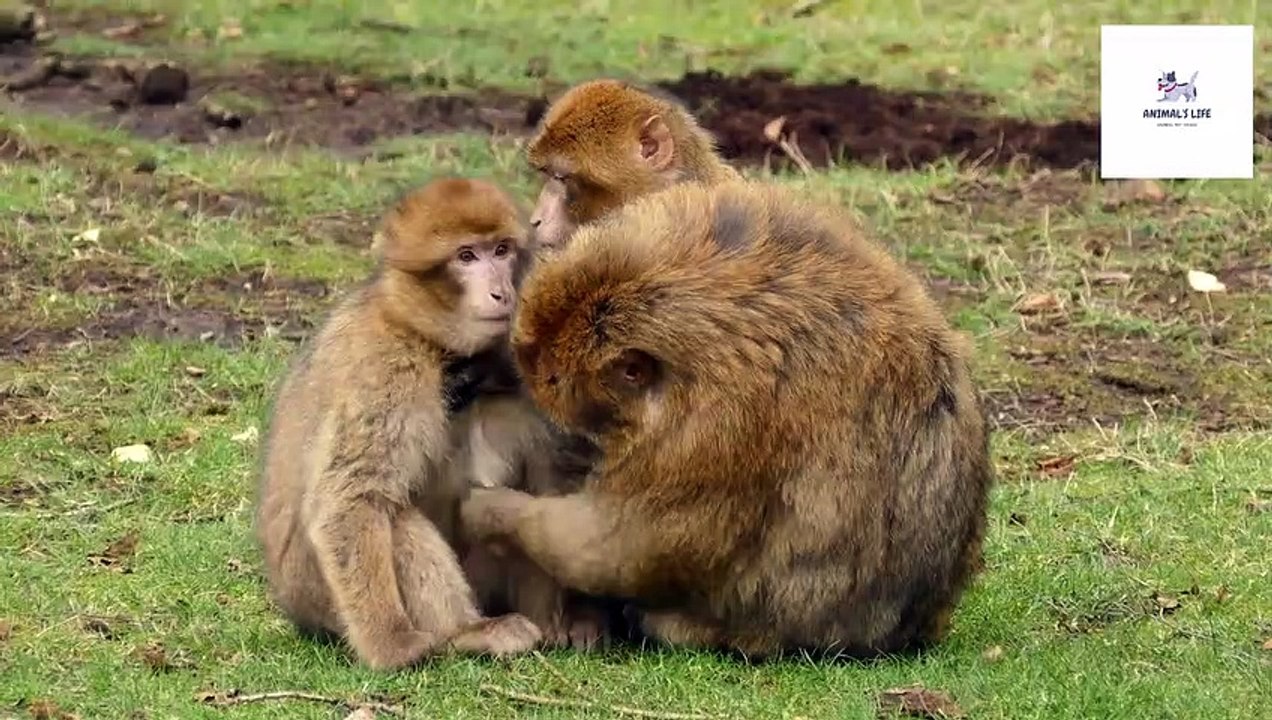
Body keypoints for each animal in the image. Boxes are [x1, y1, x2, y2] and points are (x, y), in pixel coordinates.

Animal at [253, 177, 551, 670]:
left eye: (501, 250)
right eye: (466, 256)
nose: (501, 292)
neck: (430, 340)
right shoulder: (387, 371)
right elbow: (350, 500)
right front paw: (390, 645)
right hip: (319, 596)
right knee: (394, 517)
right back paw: (465, 633)